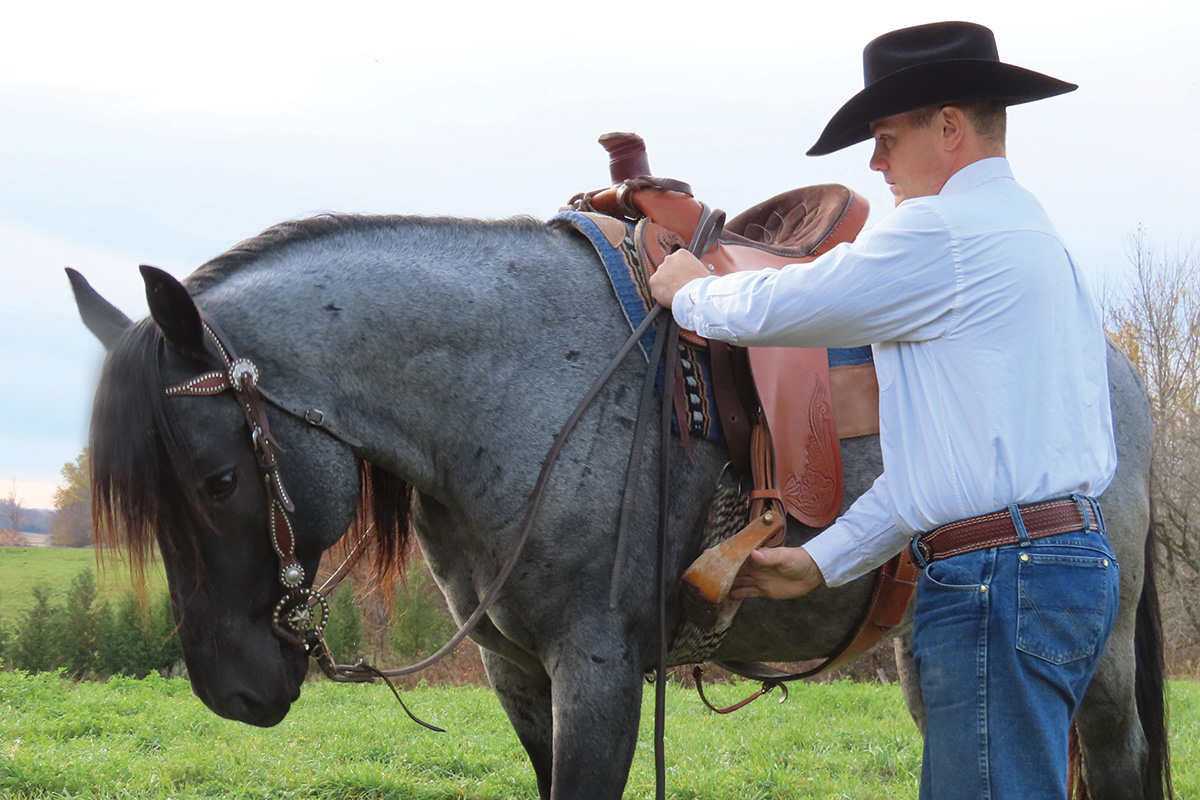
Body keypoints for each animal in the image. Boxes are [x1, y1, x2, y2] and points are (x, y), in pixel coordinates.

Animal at [68, 212, 1171, 800]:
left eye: (217, 480)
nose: (234, 687)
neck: (514, 384)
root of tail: (1117, 371)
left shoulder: (596, 671)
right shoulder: (520, 673)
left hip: (1100, 655)